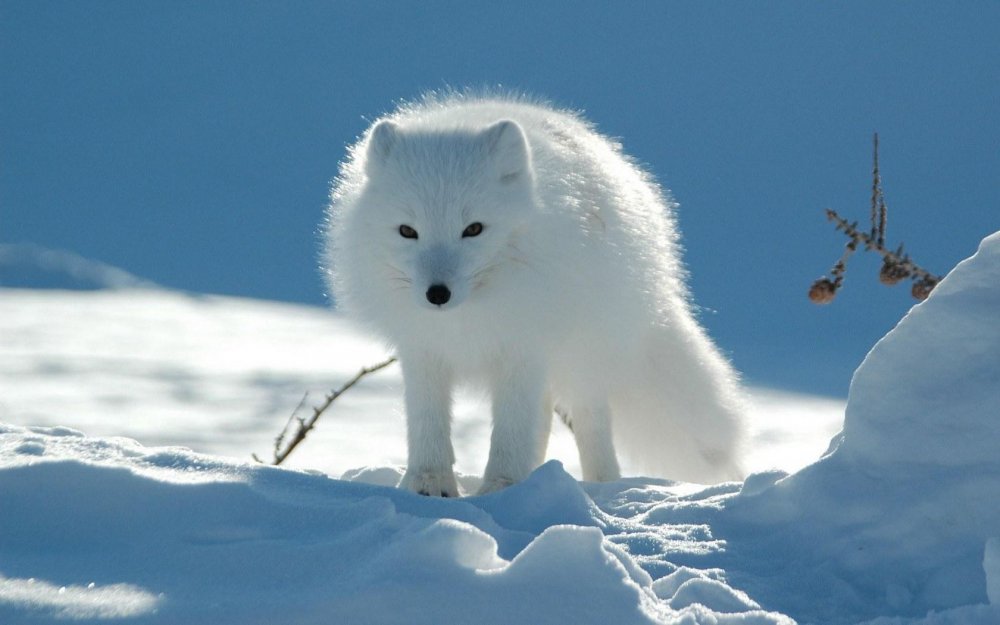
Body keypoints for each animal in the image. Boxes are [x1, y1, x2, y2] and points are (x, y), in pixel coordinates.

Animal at [324, 92, 748, 494]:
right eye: (407, 231)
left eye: (473, 229)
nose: (437, 294)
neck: (468, 317)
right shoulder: (423, 349)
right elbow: (428, 422)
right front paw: (428, 485)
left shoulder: (523, 346)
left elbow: (512, 430)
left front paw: (501, 487)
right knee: (542, 420)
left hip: (583, 354)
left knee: (590, 421)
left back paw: (601, 486)